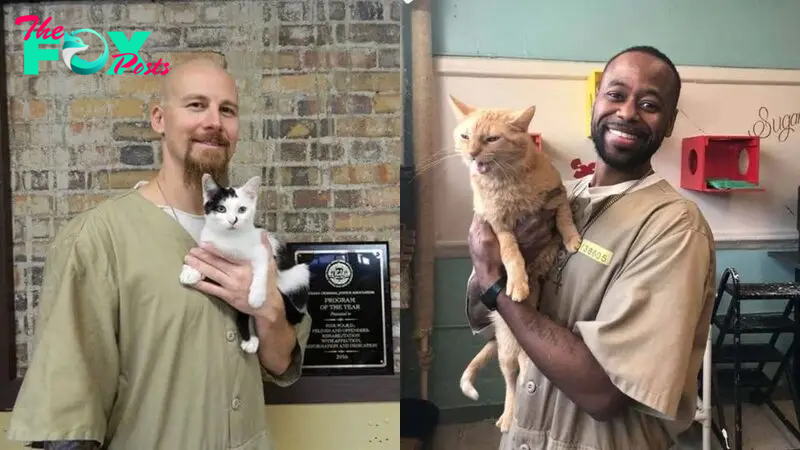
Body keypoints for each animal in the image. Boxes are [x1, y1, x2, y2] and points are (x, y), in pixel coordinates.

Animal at [180, 174, 310, 354]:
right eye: (221, 209)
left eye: (242, 210)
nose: (233, 220)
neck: (229, 239)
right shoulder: (208, 244)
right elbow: (202, 254)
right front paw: (190, 271)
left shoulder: (262, 250)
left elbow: (261, 270)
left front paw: (256, 296)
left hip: (300, 272)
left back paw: (250, 338)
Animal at [450, 96, 580, 432]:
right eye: (465, 136)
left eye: (491, 139)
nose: (472, 155)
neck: (508, 183)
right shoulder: (498, 226)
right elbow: (511, 253)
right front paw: (518, 283)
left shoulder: (557, 197)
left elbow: (565, 217)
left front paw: (573, 238)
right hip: (509, 351)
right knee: (512, 382)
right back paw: (508, 417)